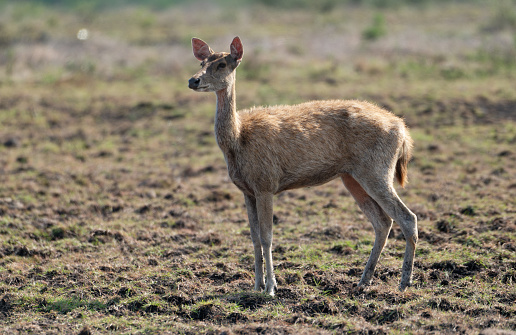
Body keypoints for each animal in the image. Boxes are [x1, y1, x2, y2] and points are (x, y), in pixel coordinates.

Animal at [187, 36, 418, 298]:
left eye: (222, 64)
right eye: (203, 61)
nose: (193, 80)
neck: (237, 140)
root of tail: (403, 131)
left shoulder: (266, 183)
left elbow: (267, 237)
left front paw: (271, 288)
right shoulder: (247, 190)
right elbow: (254, 238)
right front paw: (255, 286)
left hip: (377, 169)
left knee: (407, 217)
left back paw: (404, 282)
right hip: (352, 176)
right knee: (382, 222)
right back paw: (363, 281)